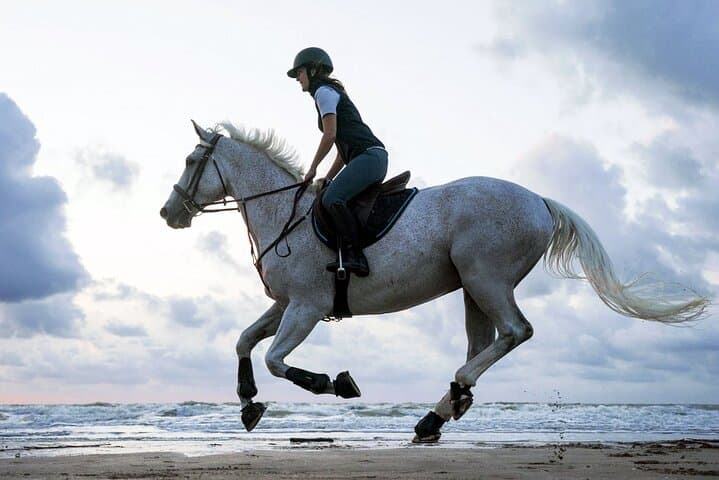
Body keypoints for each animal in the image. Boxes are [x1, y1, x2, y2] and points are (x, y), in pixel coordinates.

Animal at [160, 120, 708, 442]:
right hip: (472, 287)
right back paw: (445, 408)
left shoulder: (307, 307)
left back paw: (442, 407)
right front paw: (248, 403)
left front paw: (333, 383)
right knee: (484, 343)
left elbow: (276, 359)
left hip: (485, 277)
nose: (168, 213)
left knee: (515, 332)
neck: (283, 213)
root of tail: (539, 200)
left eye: (189, 162)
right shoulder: (286, 304)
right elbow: (244, 340)